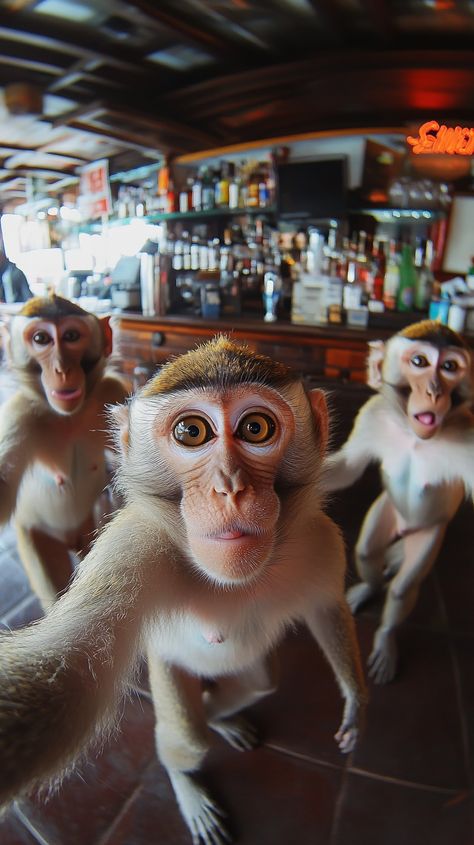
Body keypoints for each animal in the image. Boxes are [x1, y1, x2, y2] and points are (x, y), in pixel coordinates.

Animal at [0, 294, 130, 608]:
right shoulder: (16, 416)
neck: (68, 417)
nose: (61, 369)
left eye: (71, 337)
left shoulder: (113, 391)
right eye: (41, 339)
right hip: (35, 534)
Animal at [0, 336, 366, 844]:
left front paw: (355, 701)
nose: (230, 488)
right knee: (190, 738)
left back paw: (223, 717)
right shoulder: (129, 552)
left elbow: (326, 608)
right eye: (191, 432)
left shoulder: (322, 540)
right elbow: (62, 676)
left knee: (259, 680)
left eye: (256, 427)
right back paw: (188, 780)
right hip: (169, 669)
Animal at [324, 320, 474, 684]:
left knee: (403, 588)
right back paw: (369, 586)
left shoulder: (470, 439)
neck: (415, 436)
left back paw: (386, 635)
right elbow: (348, 468)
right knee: (367, 551)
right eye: (419, 362)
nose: (434, 391)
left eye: (450, 367)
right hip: (387, 511)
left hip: (430, 532)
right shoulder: (372, 415)